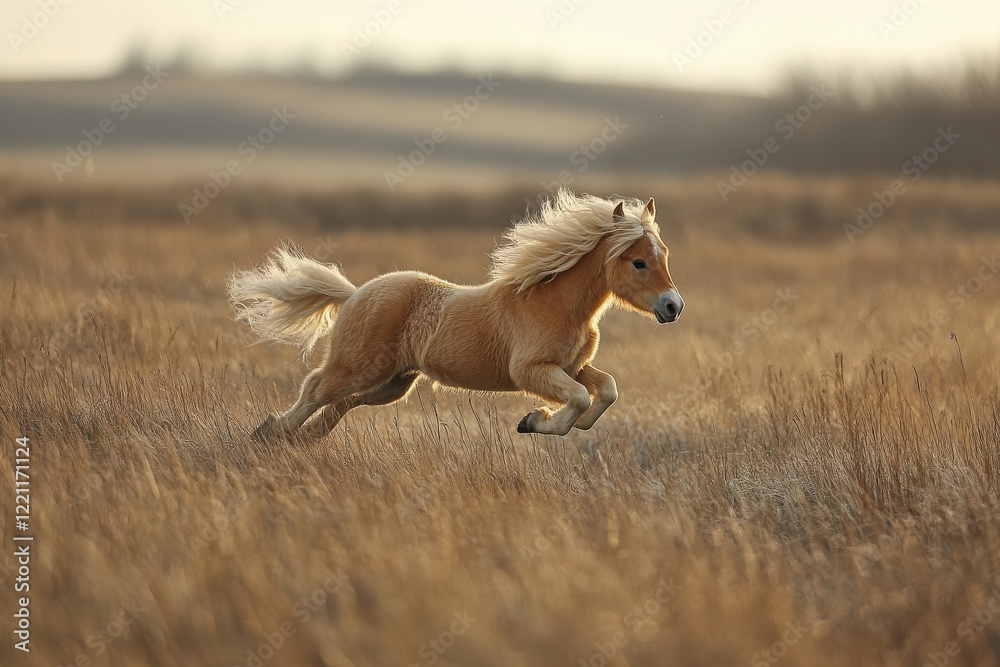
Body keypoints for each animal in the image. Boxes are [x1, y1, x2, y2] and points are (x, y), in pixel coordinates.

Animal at [228, 189, 684, 439]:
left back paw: (302, 442)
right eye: (638, 262)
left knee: (341, 405)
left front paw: (542, 420)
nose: (672, 307)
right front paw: (533, 420)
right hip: (359, 369)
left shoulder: (573, 366)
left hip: (392, 383)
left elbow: (605, 391)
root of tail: (356, 293)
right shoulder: (530, 370)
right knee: (315, 390)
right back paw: (270, 433)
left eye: (663, 254)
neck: (557, 304)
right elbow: (579, 398)